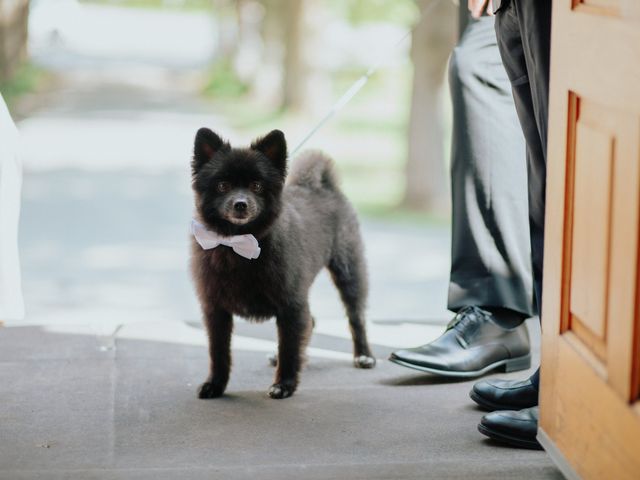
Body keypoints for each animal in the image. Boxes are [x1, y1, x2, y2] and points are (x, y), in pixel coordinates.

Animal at [189, 129, 376, 400]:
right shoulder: (216, 309)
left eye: (256, 186)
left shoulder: (290, 304)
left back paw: (363, 355)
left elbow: (289, 347)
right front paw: (215, 384)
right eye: (222, 185)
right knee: (311, 322)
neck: (238, 244)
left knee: (355, 316)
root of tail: (323, 185)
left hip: (348, 271)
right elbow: (218, 352)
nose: (240, 203)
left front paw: (284, 384)